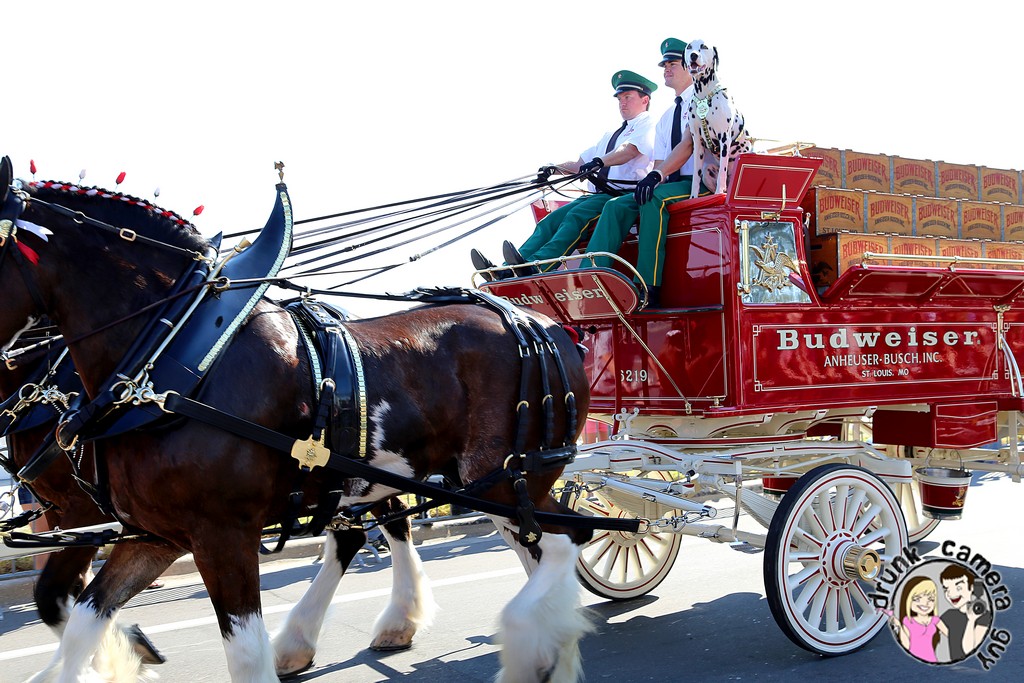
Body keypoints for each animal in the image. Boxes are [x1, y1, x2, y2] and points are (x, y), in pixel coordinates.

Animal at [0, 157, 593, 682]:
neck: (173, 357)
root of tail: (551, 327)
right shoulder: (155, 532)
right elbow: (82, 617)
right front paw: (123, 654)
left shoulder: (215, 532)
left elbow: (242, 653)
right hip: (451, 481)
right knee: (523, 546)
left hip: (502, 478)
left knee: (563, 542)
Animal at [684, 39, 752, 198]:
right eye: (689, 47)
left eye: (703, 47)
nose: (693, 55)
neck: (704, 94)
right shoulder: (697, 142)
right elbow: (695, 177)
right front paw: (693, 197)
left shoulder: (724, 139)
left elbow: (722, 169)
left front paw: (718, 192)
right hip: (707, 171)